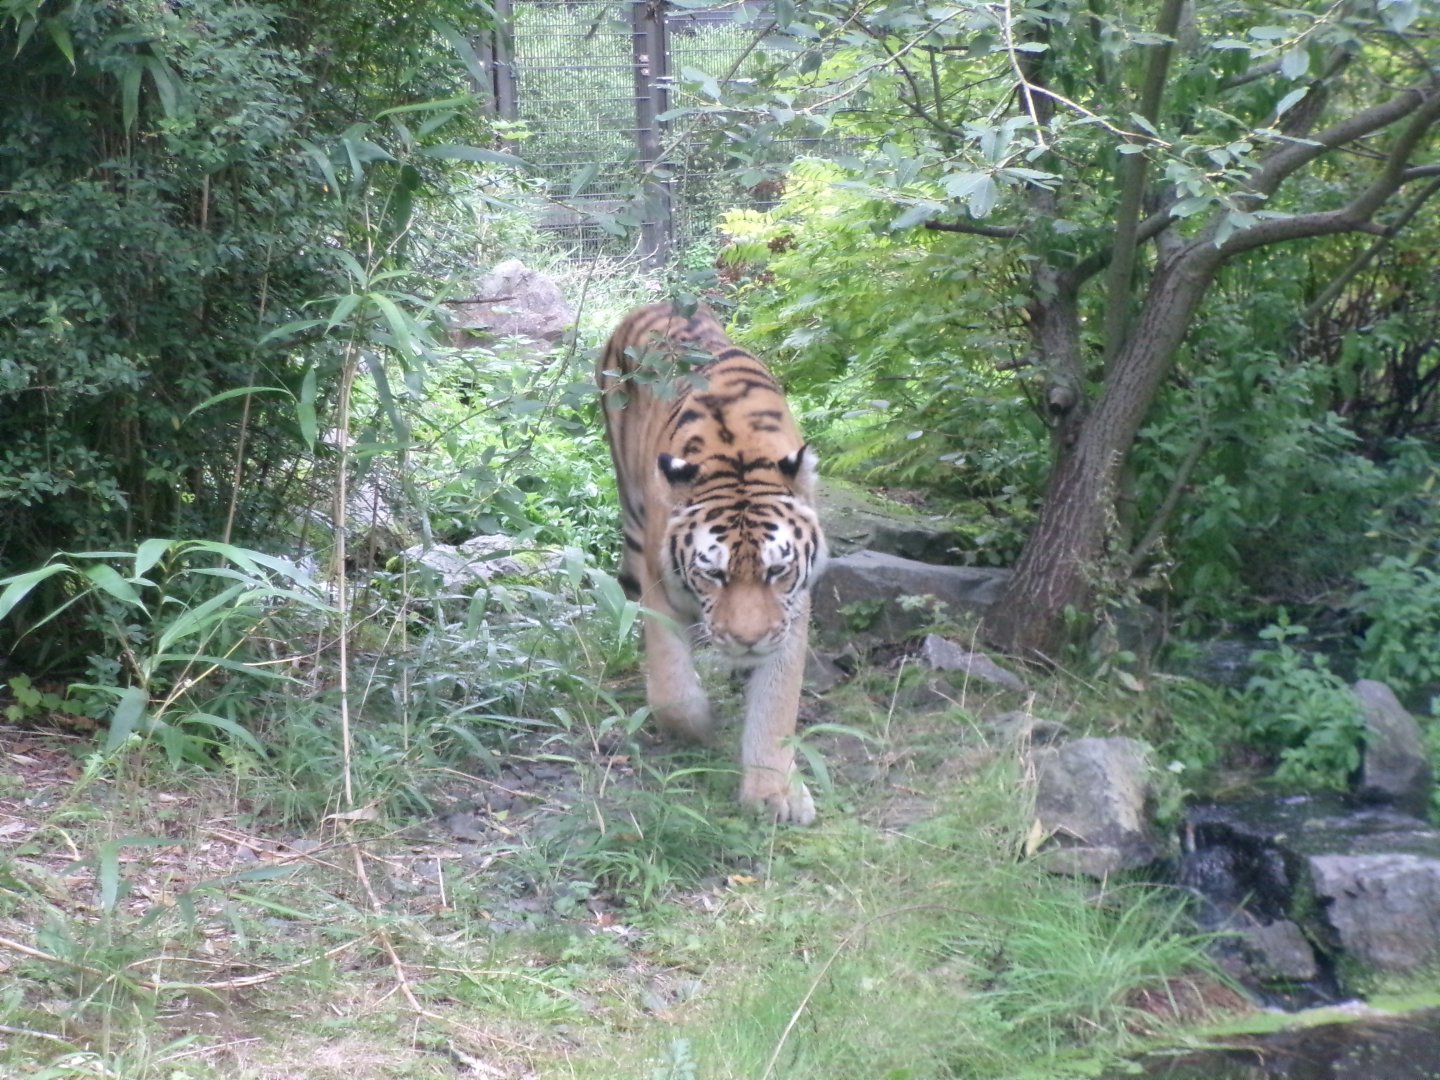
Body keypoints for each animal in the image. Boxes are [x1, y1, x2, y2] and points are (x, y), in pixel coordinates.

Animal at [596, 301, 828, 825]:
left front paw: (774, 791)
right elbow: (672, 686)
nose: (747, 641)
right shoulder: (661, 586)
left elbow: (777, 700)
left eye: (776, 571)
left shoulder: (793, 609)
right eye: (713, 574)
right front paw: (700, 727)